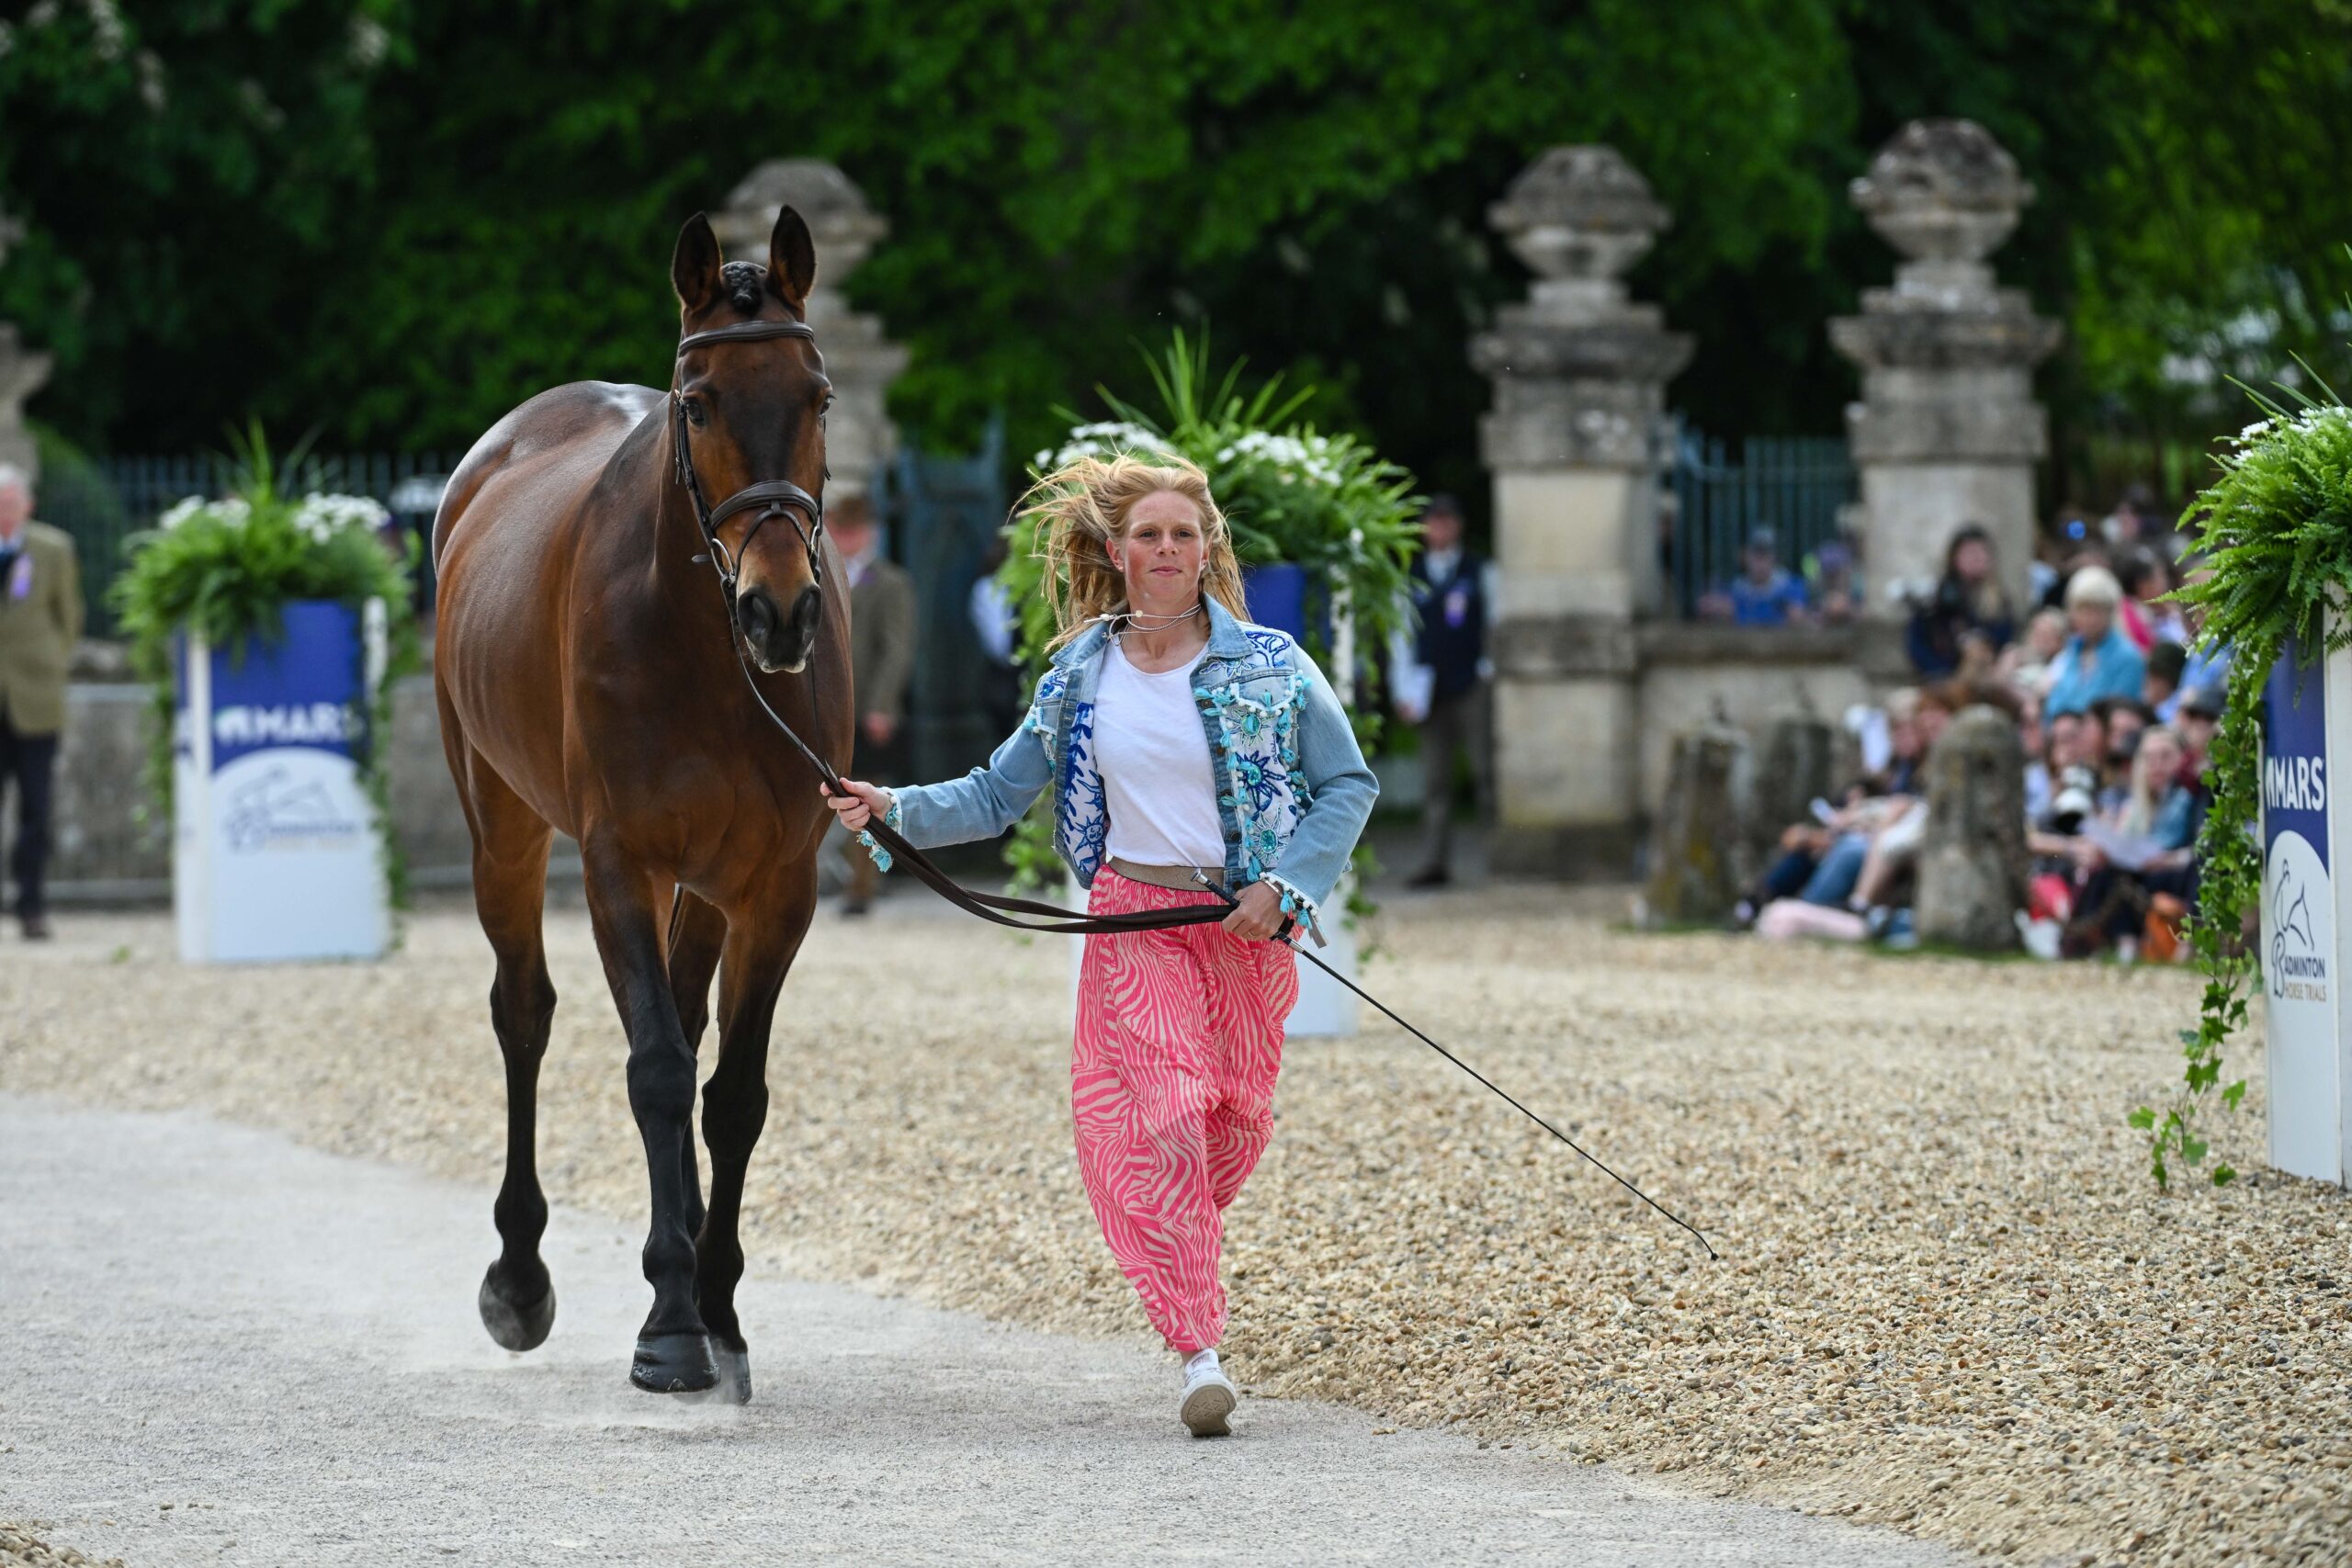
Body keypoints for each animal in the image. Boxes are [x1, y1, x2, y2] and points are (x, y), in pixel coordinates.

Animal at [430, 206, 851, 1399]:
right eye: (698, 402)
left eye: (818, 396)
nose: (780, 614)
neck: (708, 652)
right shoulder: (617, 860)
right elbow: (657, 1071)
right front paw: (669, 1322)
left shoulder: (774, 887)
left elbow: (733, 1093)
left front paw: (716, 1303)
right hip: (503, 831)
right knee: (524, 1014)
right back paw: (520, 1277)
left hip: (704, 883)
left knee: (684, 1013)